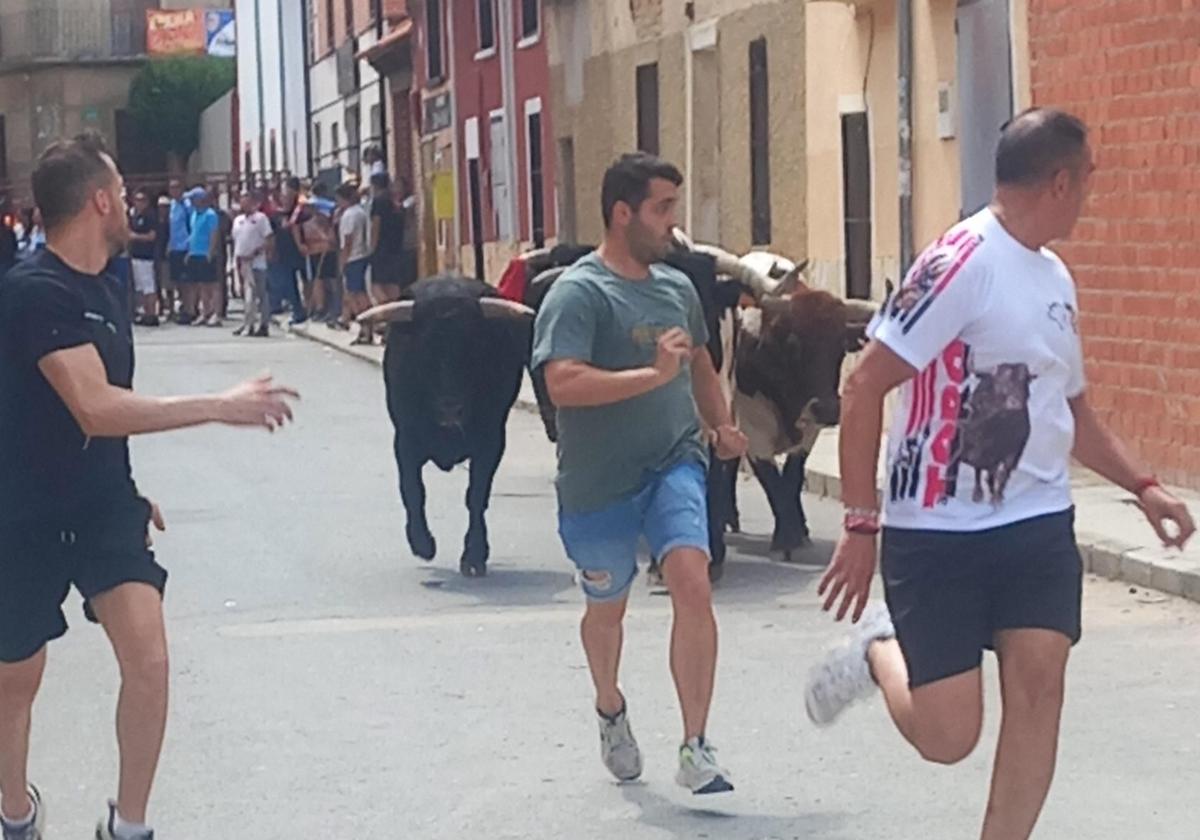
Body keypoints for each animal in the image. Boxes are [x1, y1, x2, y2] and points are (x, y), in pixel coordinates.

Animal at [355, 276, 535, 578]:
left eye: (473, 348)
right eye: (424, 350)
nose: (451, 408)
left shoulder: (491, 442)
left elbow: (476, 496)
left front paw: (474, 555)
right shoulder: (404, 441)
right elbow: (413, 490)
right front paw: (422, 543)